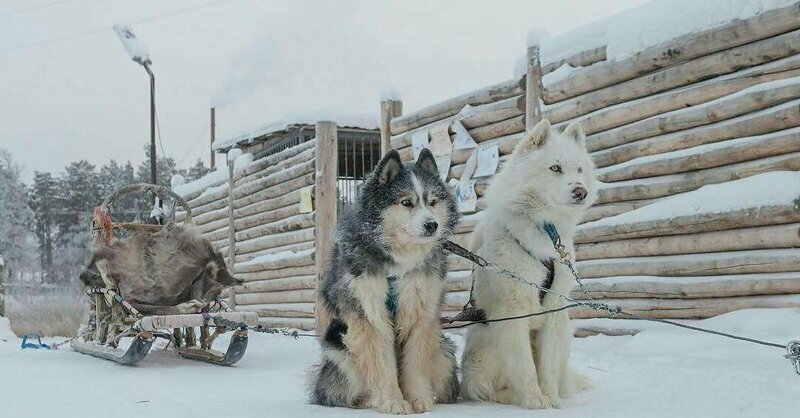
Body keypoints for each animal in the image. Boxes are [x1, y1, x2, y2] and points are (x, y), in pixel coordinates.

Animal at [460, 119, 596, 410]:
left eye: (579, 169)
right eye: (555, 168)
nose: (581, 191)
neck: (544, 230)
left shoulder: (554, 310)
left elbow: (546, 368)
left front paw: (552, 399)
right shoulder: (512, 311)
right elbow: (525, 367)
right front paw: (535, 400)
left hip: (564, 334)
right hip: (487, 343)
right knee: (486, 388)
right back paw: (512, 396)